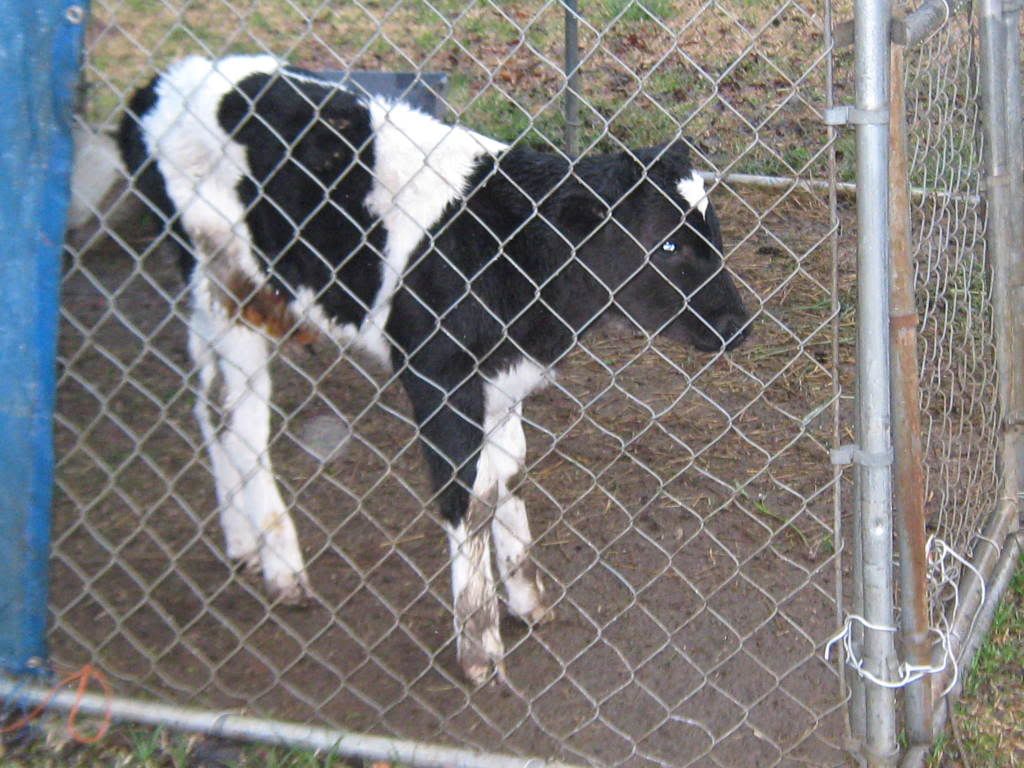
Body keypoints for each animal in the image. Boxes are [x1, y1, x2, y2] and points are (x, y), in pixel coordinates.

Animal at [116, 54, 751, 684]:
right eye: (667, 246)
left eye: (715, 233)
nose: (738, 325)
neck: (510, 255)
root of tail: (163, 81)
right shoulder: (439, 378)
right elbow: (465, 498)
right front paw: (479, 646)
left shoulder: (503, 377)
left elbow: (505, 479)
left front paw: (527, 599)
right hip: (227, 284)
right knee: (239, 419)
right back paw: (282, 567)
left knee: (209, 403)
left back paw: (242, 542)